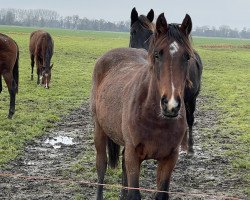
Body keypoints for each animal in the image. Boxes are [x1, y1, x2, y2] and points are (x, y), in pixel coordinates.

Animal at [91, 13, 194, 199]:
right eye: (157, 54)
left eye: (187, 56)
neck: (154, 118)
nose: (171, 105)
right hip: (99, 129)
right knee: (101, 167)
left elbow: (161, 194)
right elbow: (134, 193)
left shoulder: (169, 159)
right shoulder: (133, 156)